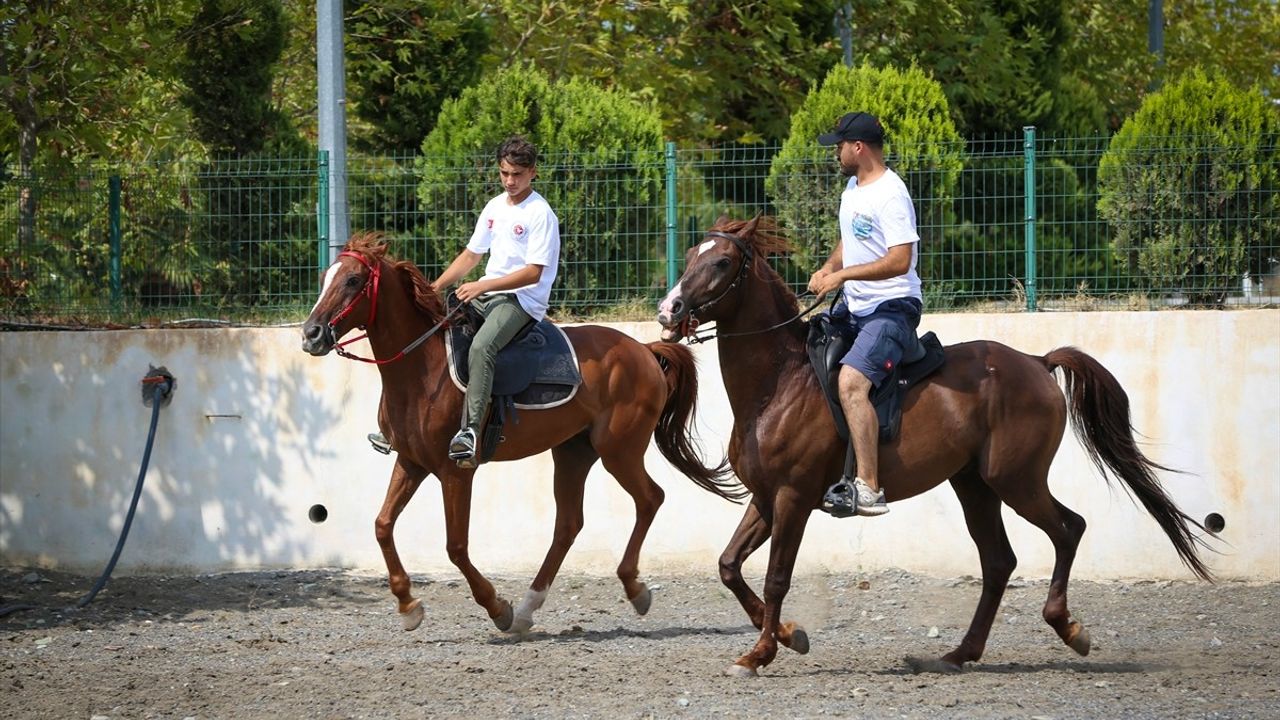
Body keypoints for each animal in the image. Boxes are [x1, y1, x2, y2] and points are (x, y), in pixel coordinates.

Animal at [302, 233, 742, 630]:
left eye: (353, 280)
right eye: (326, 276)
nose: (311, 334)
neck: (423, 369)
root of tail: (645, 351)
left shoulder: (455, 470)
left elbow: (455, 546)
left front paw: (497, 608)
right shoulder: (412, 462)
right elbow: (382, 526)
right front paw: (408, 605)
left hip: (619, 450)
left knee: (650, 498)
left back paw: (634, 590)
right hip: (574, 451)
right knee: (569, 524)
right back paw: (531, 607)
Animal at [655, 215, 1213, 676]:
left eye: (722, 262)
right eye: (691, 254)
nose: (669, 310)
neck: (780, 380)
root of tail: (1036, 362)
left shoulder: (793, 496)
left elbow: (775, 577)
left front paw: (762, 652)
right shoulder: (767, 497)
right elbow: (729, 565)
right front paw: (791, 636)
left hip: (1016, 480)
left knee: (1067, 529)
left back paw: (1068, 628)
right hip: (975, 486)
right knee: (999, 561)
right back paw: (960, 653)